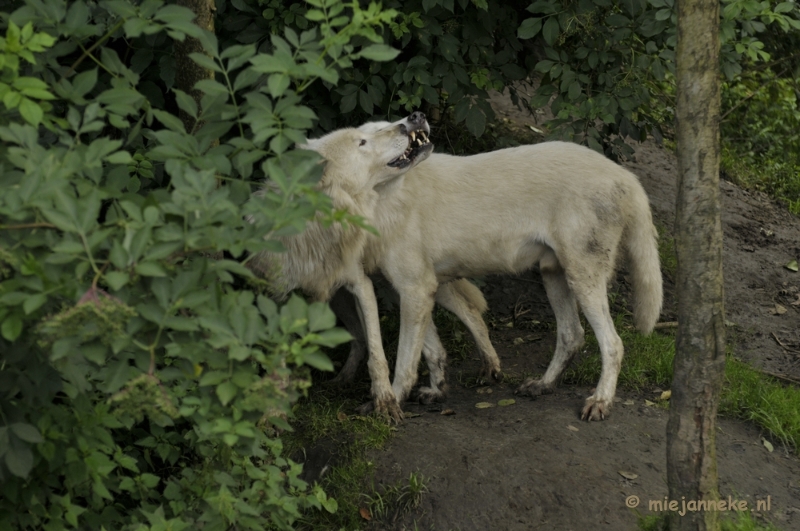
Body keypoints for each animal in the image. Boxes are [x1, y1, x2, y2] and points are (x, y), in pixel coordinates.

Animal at [356, 117, 664, 424]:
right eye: (370, 133)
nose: (416, 117)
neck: (386, 199)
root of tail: (626, 176)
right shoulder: (421, 288)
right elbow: (434, 350)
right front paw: (436, 390)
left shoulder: (415, 289)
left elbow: (405, 363)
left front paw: (388, 405)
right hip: (554, 277)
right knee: (572, 336)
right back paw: (543, 385)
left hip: (582, 281)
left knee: (613, 344)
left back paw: (600, 401)